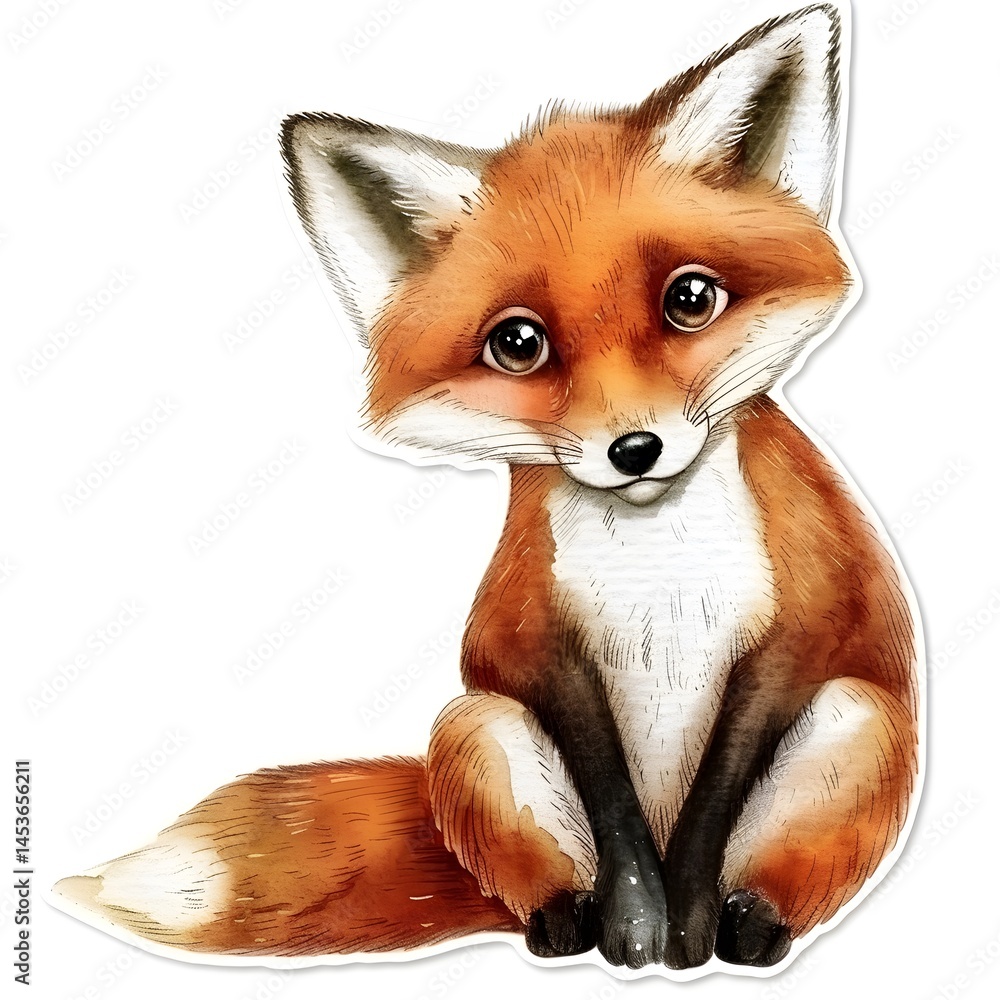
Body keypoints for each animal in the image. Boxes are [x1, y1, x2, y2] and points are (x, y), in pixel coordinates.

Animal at [53, 3, 922, 977]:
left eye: (691, 299)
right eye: (517, 344)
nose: (636, 448)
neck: (656, 565)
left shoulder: (797, 629)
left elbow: (711, 812)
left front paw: (686, 933)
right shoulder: (536, 641)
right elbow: (615, 817)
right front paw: (637, 932)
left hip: (858, 725)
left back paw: (755, 928)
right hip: (474, 730)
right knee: (534, 877)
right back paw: (564, 923)